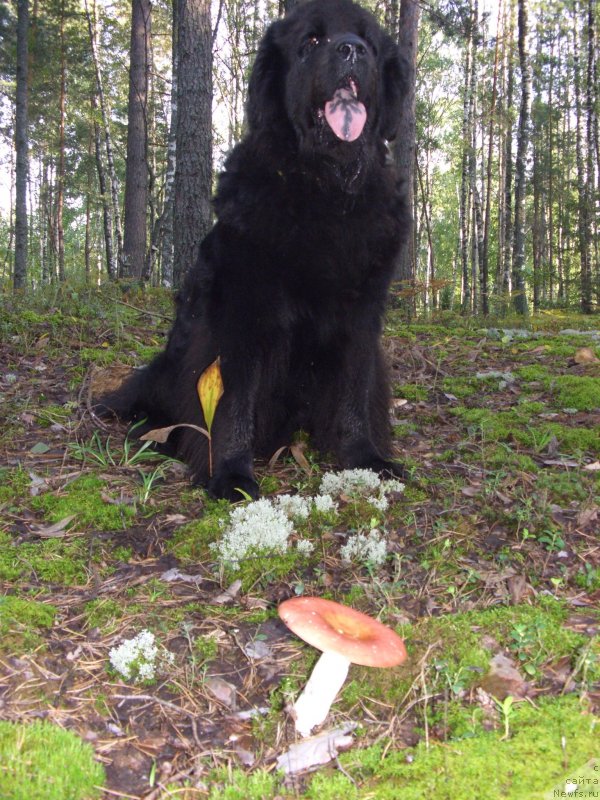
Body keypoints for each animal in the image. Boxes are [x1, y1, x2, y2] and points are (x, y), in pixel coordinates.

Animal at [104, 0, 412, 500]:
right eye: (312, 41)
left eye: (369, 40)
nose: (351, 50)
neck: (324, 190)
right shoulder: (242, 312)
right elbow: (233, 399)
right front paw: (232, 474)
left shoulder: (362, 312)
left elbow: (355, 390)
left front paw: (365, 458)